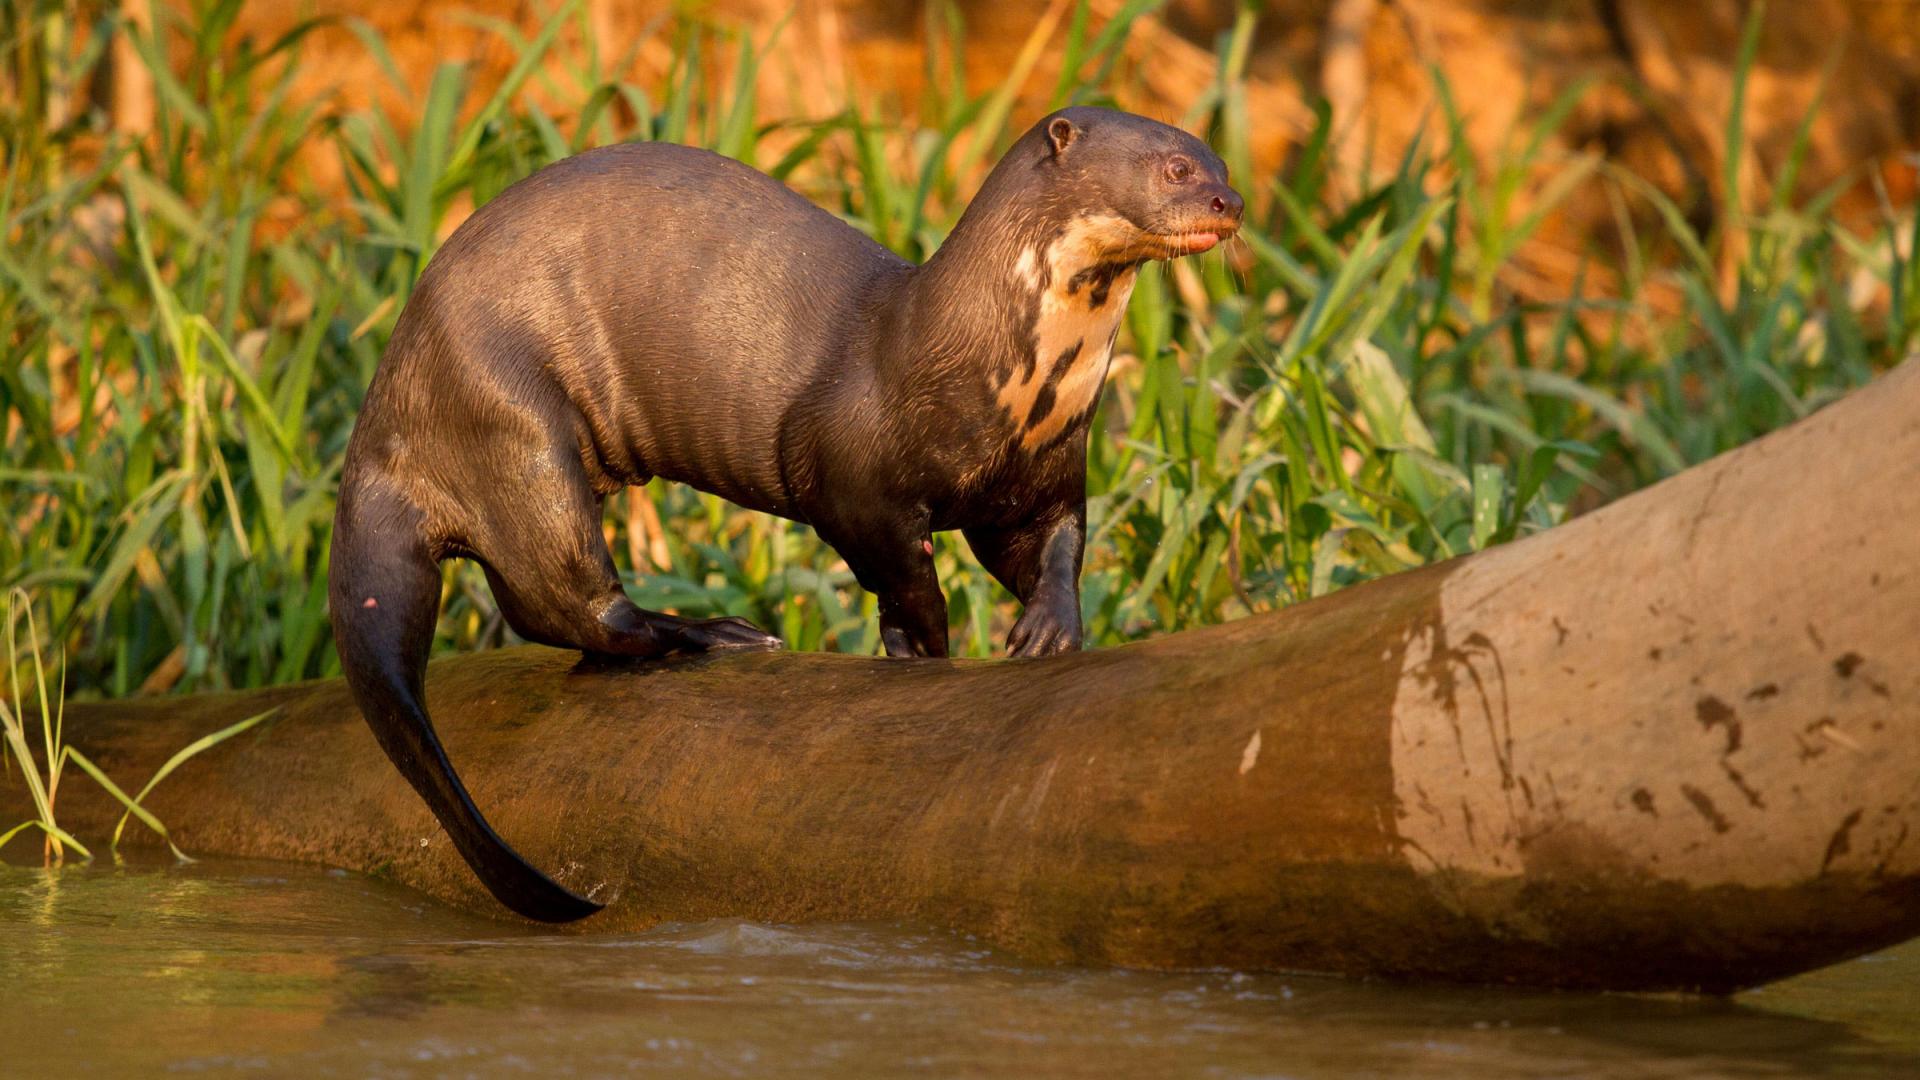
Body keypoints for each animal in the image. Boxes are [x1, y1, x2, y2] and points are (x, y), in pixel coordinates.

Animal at [334, 107, 1244, 914]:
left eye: (1220, 160)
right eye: (1175, 168)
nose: (1229, 205)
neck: (1011, 373)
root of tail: (382, 429)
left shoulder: (1043, 471)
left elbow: (1054, 545)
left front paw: (1049, 627)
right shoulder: (849, 470)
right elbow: (899, 570)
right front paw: (927, 645)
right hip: (509, 416)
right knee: (562, 594)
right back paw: (708, 633)